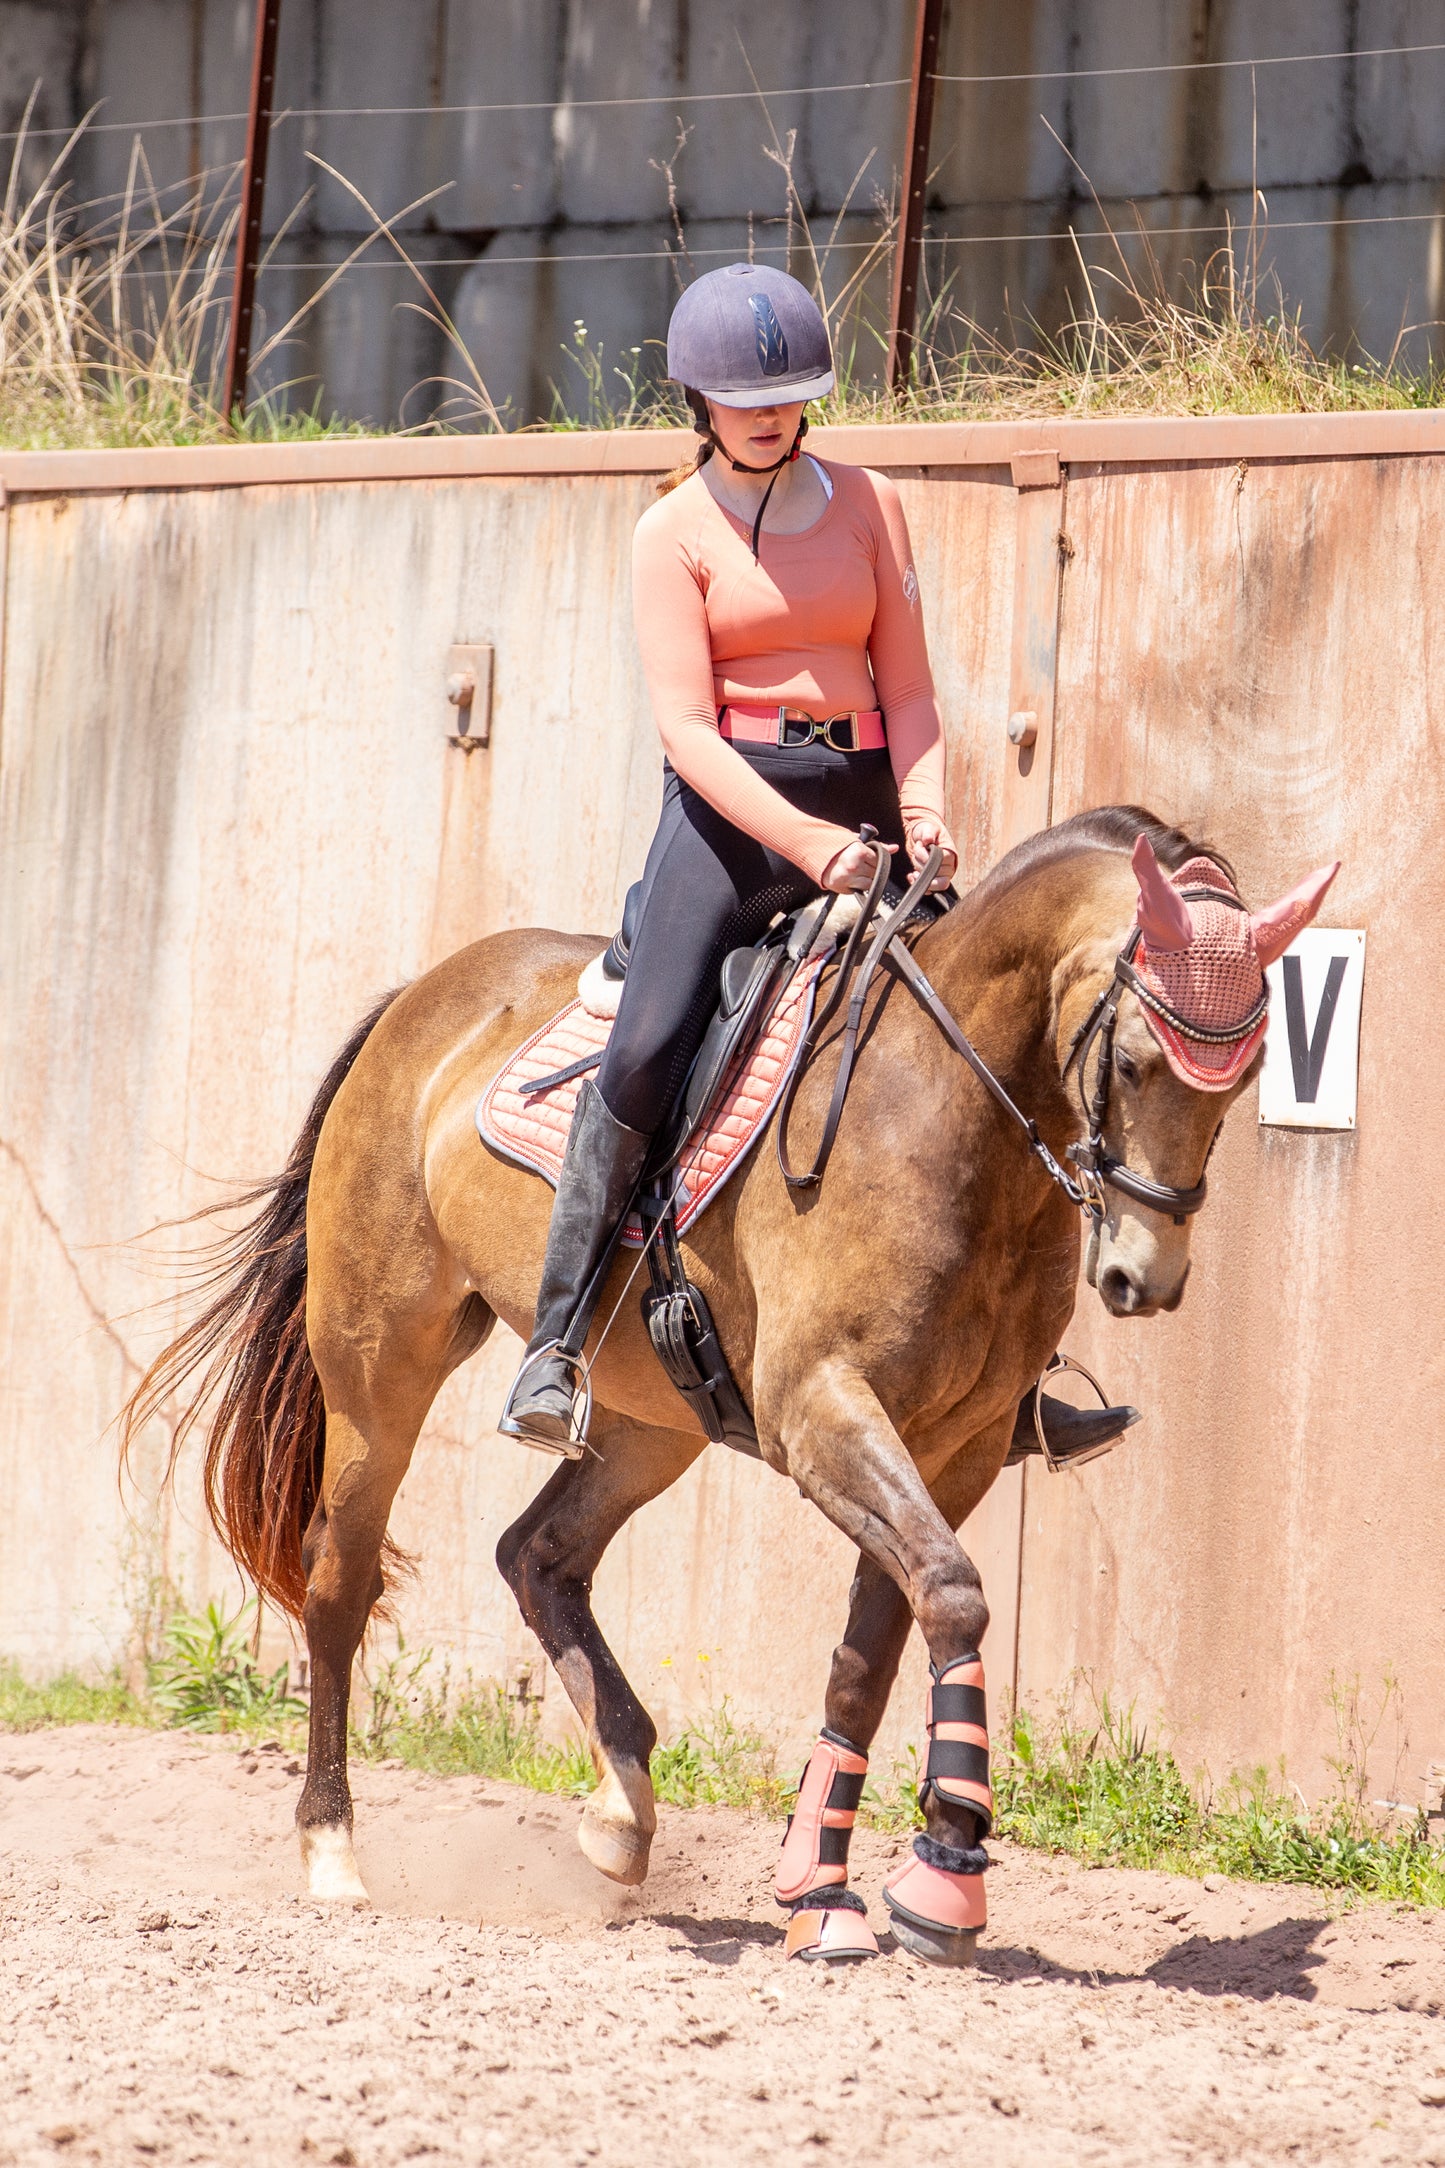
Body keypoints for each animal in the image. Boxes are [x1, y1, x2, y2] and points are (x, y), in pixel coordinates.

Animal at [121, 810, 1334, 1968]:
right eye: (1130, 1061)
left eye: (1246, 1072)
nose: (1145, 1276)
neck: (948, 1117)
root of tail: (421, 997)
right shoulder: (823, 1412)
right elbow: (950, 1592)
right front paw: (944, 1870)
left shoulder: (960, 1447)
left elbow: (873, 1652)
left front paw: (821, 1889)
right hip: (381, 1365)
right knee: (340, 1577)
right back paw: (333, 1852)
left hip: (652, 1418)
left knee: (537, 1554)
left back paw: (620, 1811)